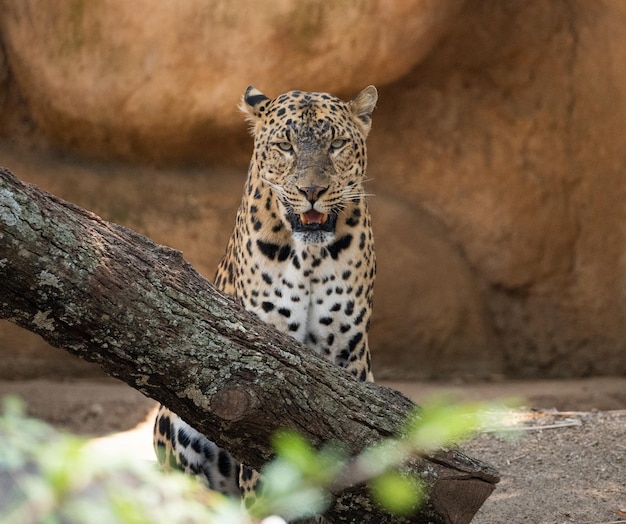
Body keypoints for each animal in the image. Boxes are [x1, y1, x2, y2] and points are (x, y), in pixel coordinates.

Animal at [152, 85, 376, 508]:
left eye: (337, 144)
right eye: (285, 146)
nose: (312, 191)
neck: (310, 255)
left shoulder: (346, 353)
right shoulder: (267, 360)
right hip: (175, 422)